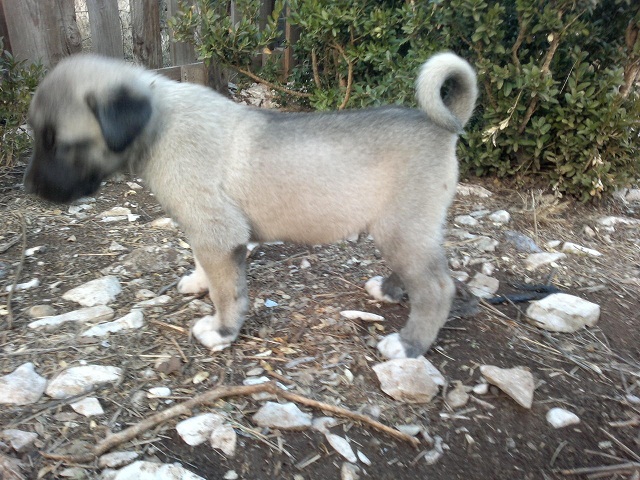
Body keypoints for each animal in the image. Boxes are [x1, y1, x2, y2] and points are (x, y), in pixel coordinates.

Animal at [24, 52, 477, 359]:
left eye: (60, 144)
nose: (29, 188)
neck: (159, 123)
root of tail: (440, 125)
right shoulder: (210, 234)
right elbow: (206, 266)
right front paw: (199, 281)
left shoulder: (218, 234)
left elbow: (228, 292)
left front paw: (223, 330)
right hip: (409, 229)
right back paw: (389, 289)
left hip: (400, 228)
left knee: (437, 288)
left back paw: (408, 344)